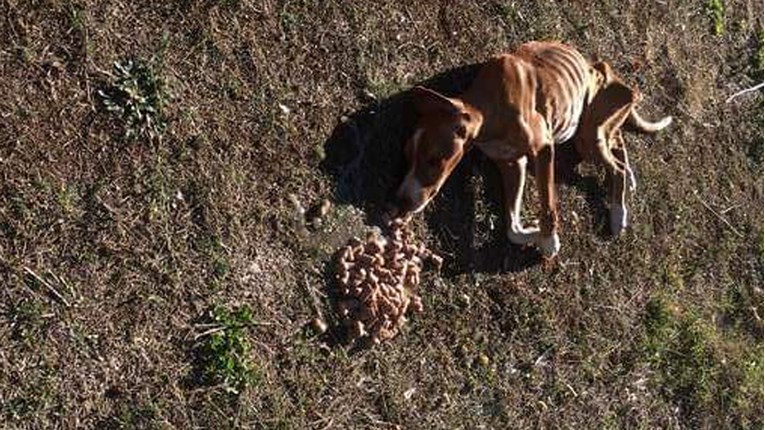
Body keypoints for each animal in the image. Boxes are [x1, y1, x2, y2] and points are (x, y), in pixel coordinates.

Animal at [394, 42, 668, 256]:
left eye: (434, 160)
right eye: (406, 156)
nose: (401, 201)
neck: (489, 107)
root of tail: (599, 68)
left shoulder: (543, 148)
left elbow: (547, 204)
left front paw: (549, 240)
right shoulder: (513, 164)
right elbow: (512, 228)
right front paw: (535, 233)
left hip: (590, 135)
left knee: (616, 167)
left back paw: (618, 214)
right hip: (594, 133)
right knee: (618, 148)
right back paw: (628, 180)